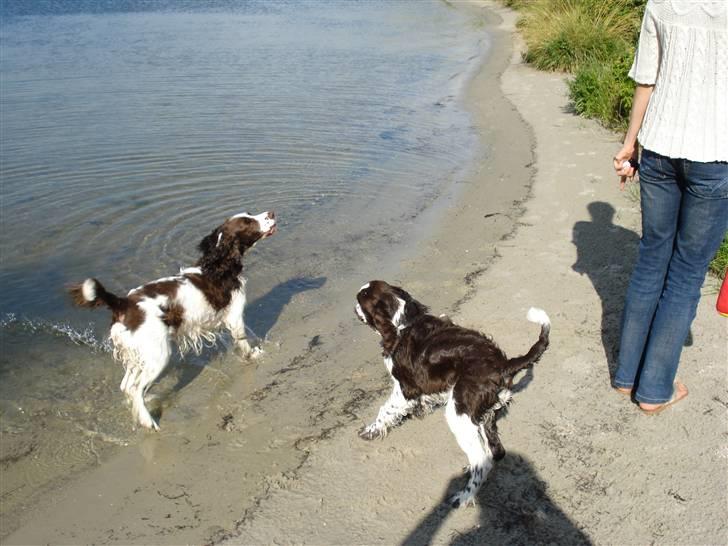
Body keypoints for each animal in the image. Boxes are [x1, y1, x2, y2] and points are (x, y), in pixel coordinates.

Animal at [69, 210, 276, 428]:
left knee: (126, 386)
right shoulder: (235, 316)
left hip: (137, 354)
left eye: (250, 214)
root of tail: (122, 303)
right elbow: (243, 341)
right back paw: (148, 420)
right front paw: (254, 354)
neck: (218, 266)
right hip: (159, 355)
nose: (271, 213)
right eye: (248, 222)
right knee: (135, 388)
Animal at [356, 280, 548, 506]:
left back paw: (464, 496)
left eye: (363, 297)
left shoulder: (405, 388)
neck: (404, 322)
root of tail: (504, 365)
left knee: (482, 459)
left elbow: (384, 409)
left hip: (459, 413)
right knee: (494, 451)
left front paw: (370, 431)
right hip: (484, 415)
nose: (355, 302)